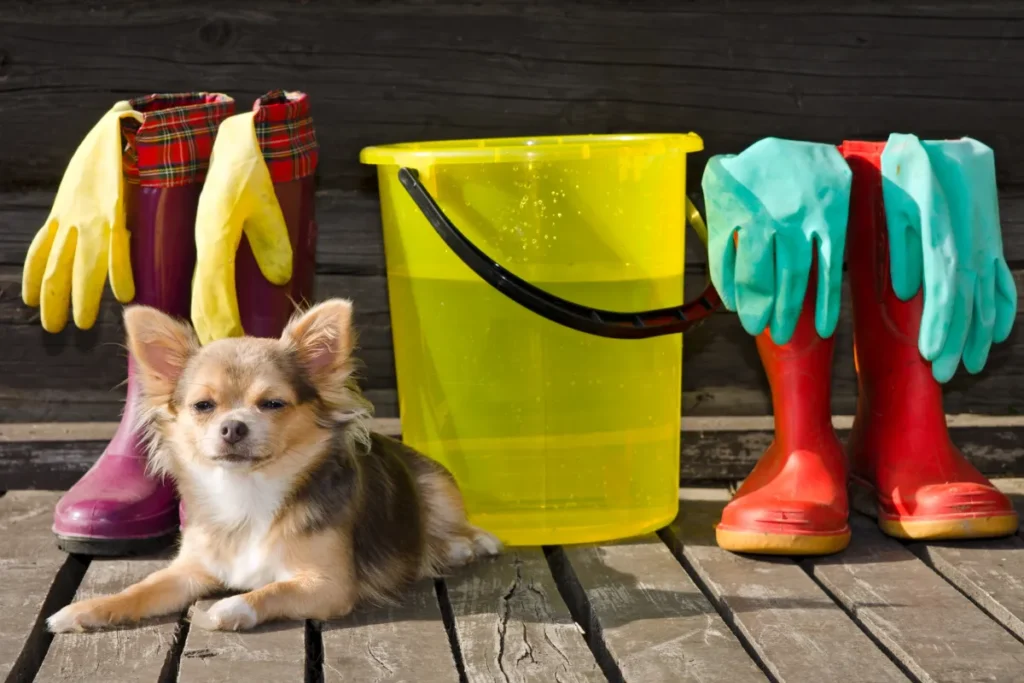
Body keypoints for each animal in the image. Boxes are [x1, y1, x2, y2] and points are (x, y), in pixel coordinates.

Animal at [46, 301, 501, 634]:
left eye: (273, 404)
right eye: (203, 406)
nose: (233, 426)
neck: (248, 494)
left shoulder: (328, 585)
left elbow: (269, 592)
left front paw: (229, 606)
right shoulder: (188, 571)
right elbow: (139, 589)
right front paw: (84, 609)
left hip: (438, 486)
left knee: (454, 525)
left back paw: (468, 543)